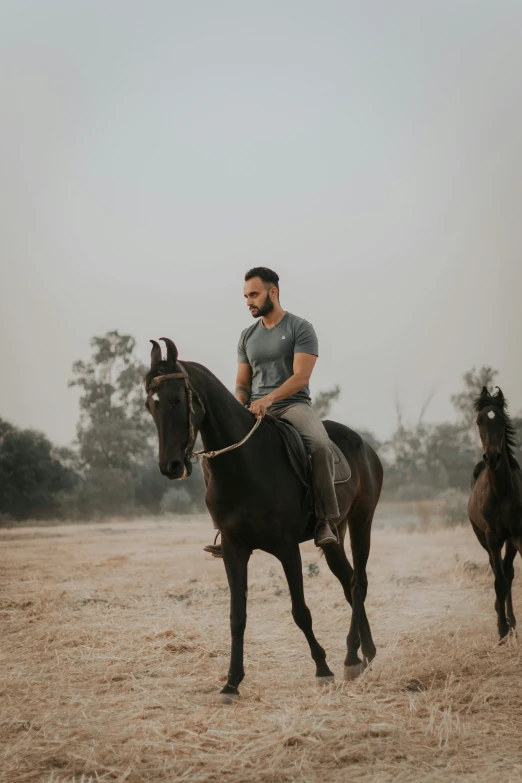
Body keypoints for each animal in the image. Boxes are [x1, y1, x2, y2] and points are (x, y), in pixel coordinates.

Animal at [144, 340, 380, 700]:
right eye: (150, 405)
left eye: (177, 399)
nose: (170, 466)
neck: (245, 464)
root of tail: (365, 445)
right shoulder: (234, 549)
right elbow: (237, 616)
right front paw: (231, 682)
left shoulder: (287, 549)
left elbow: (300, 612)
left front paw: (322, 669)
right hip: (333, 535)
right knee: (349, 582)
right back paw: (364, 653)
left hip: (361, 521)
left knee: (358, 583)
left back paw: (353, 657)